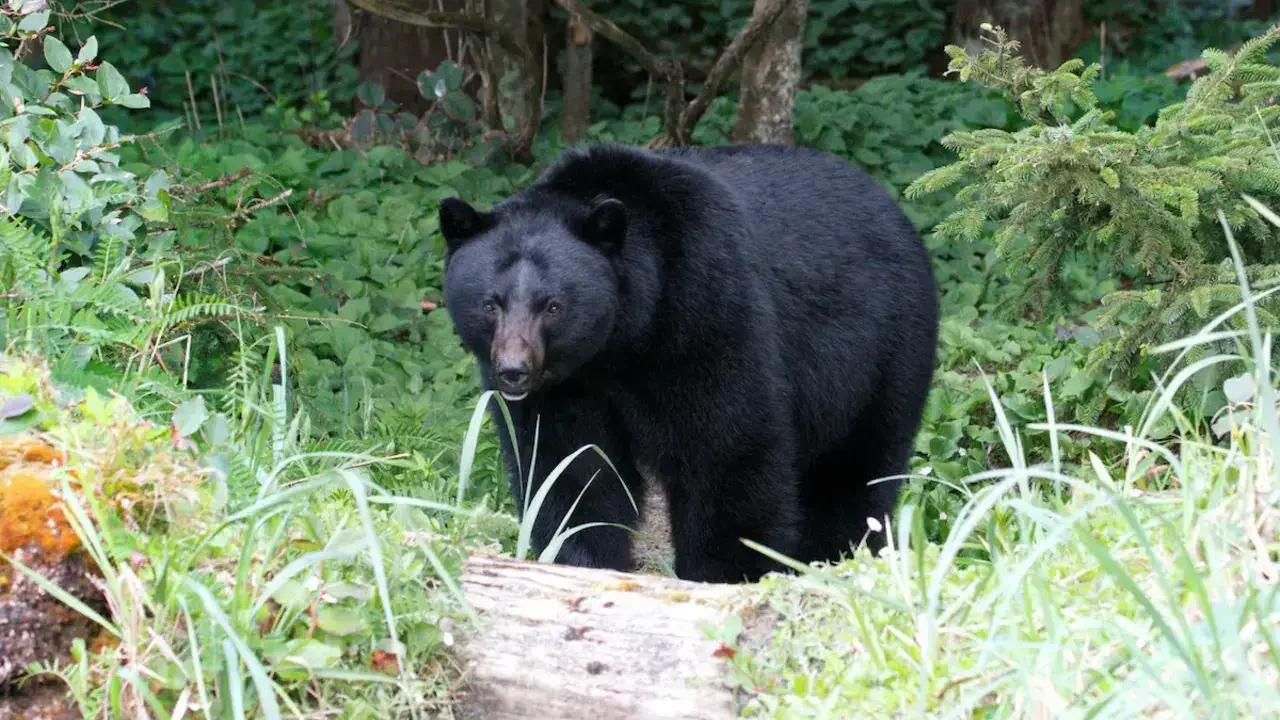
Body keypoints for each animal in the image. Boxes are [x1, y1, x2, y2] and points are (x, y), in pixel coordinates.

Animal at [438, 142, 939, 584]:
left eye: (553, 306)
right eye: (491, 304)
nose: (514, 371)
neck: (620, 343)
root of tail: (892, 206)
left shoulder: (704, 305)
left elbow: (727, 445)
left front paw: (727, 571)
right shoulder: (567, 387)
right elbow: (569, 463)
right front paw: (579, 557)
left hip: (883, 346)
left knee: (856, 467)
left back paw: (834, 556)